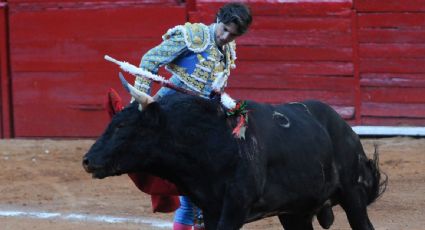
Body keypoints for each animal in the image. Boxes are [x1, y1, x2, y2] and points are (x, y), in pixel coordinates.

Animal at [81, 93, 386, 230]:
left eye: (123, 126)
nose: (87, 160)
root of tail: (346, 129)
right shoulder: (210, 209)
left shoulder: (235, 207)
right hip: (294, 212)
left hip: (352, 194)